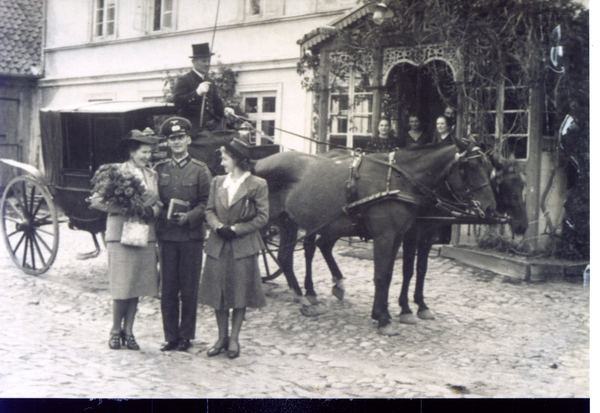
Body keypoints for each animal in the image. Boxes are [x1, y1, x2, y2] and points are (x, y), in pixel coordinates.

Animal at [255, 138, 494, 334]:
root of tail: (257, 165)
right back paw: (305, 295)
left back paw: (305, 297)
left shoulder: (401, 236)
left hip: (294, 222)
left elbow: (399, 272)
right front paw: (387, 318)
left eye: (489, 167)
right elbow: (384, 275)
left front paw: (384, 312)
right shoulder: (387, 236)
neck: (400, 181)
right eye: (470, 166)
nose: (490, 208)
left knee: (290, 257)